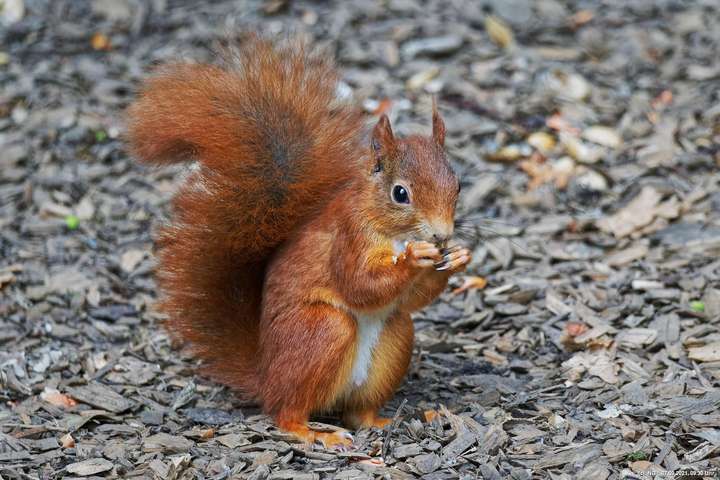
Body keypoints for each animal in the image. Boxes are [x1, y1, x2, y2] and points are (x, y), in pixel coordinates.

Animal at [126, 37, 471, 449]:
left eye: (458, 185)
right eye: (400, 193)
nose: (441, 235)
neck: (393, 233)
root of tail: (266, 377)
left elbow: (412, 300)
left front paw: (460, 257)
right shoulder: (348, 237)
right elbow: (359, 284)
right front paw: (414, 258)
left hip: (395, 338)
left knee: (358, 409)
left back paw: (381, 421)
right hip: (321, 330)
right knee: (286, 411)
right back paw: (312, 432)